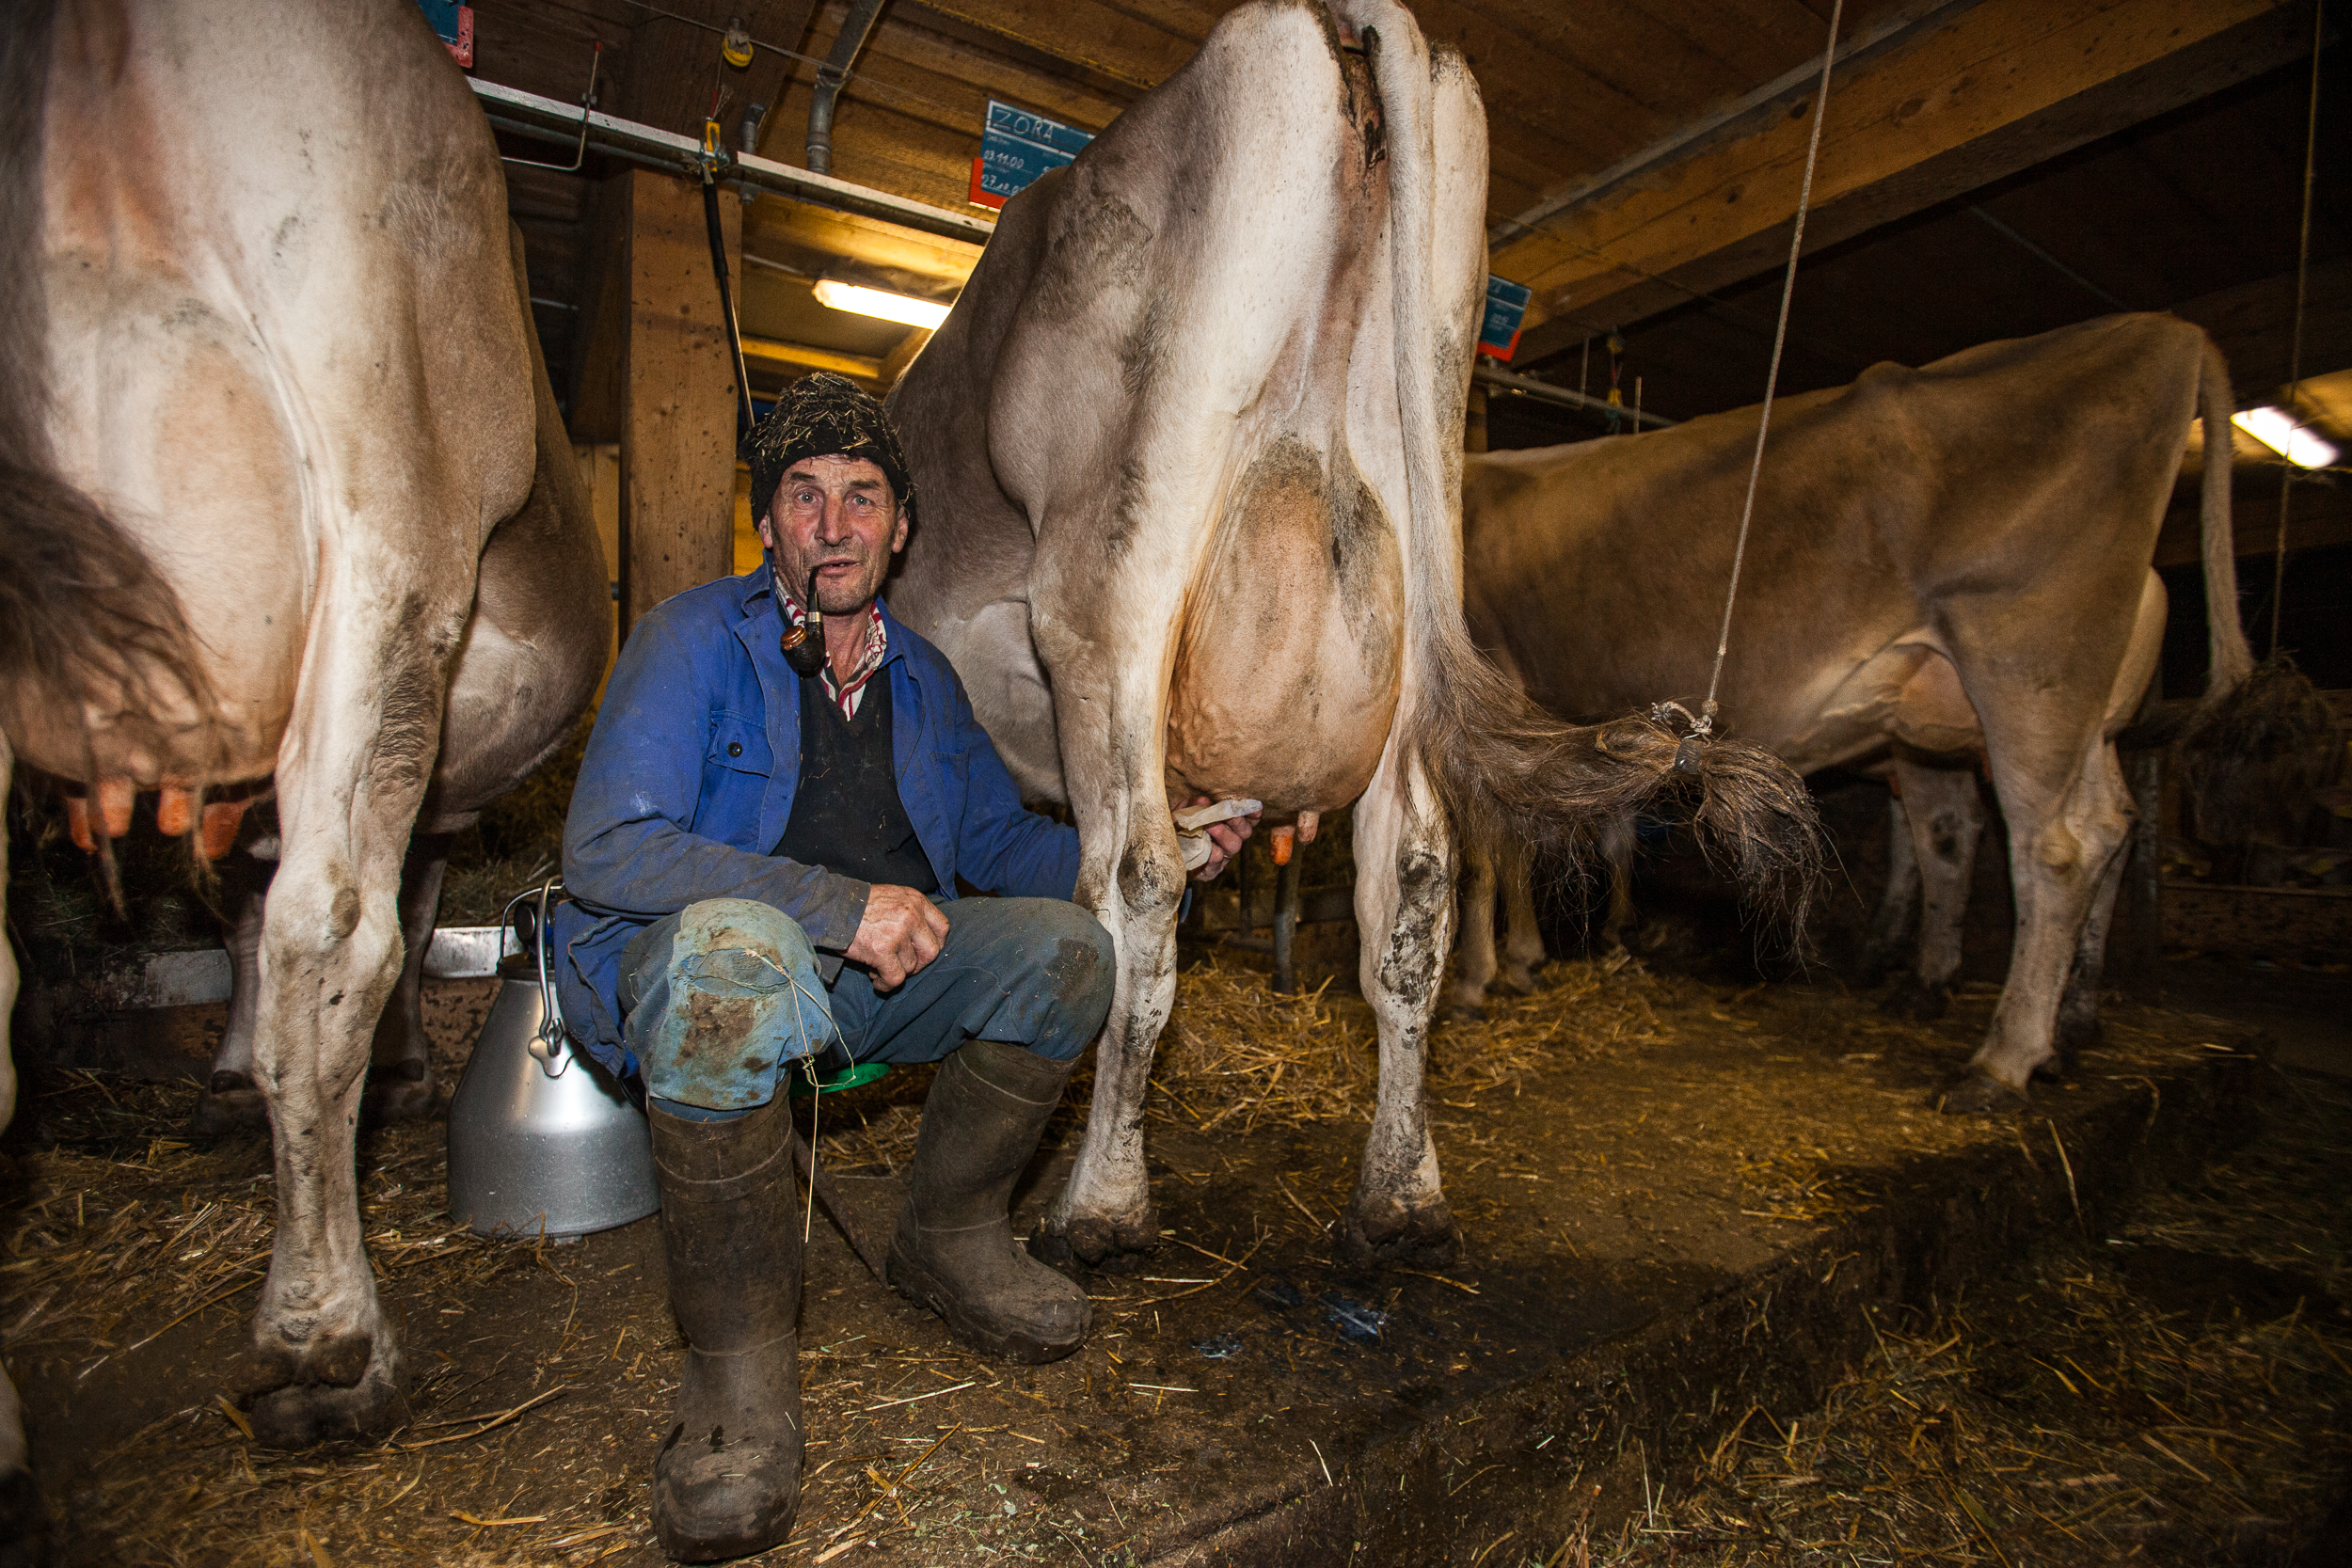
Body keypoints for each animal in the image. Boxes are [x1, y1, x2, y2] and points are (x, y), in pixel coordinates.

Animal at [884, 0, 1816, 1269]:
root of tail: (1340, 18)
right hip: (1419, 570)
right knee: (1413, 886)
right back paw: (1401, 1197)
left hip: (1110, 582)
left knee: (1137, 882)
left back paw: (1100, 1207)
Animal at [1449, 312, 2258, 1109]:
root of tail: (2166, 330)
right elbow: (1533, 843)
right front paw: (1526, 958)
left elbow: (1486, 855)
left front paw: (1484, 975)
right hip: (2052, 713)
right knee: (2073, 826)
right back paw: (2045, 1025)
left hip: (2027, 659)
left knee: (2058, 844)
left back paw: (2001, 1061)